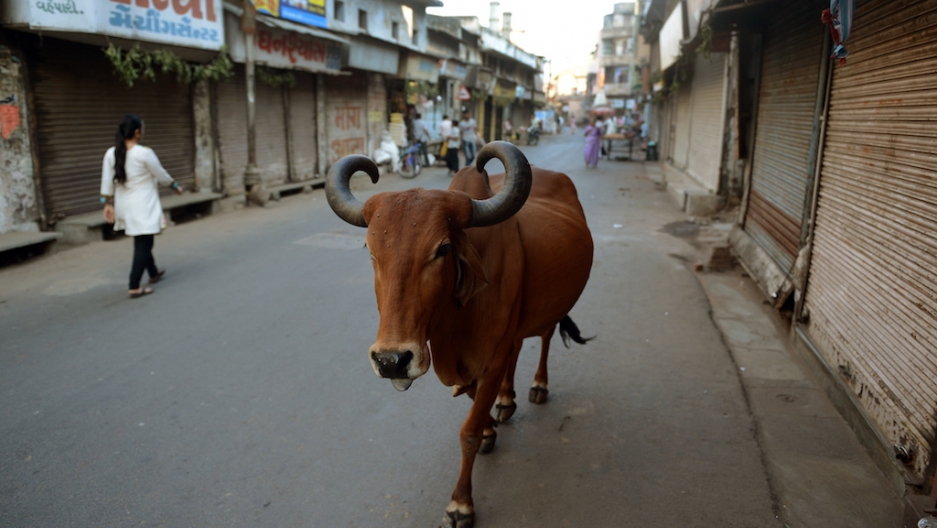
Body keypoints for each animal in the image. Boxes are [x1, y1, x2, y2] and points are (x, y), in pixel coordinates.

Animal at [325, 142, 593, 528]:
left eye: (442, 249)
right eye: (371, 252)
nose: (391, 361)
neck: (455, 318)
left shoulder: (491, 358)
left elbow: (467, 432)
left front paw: (460, 504)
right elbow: (473, 403)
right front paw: (490, 427)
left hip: (549, 312)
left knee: (543, 337)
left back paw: (538, 386)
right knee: (518, 350)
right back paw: (506, 400)